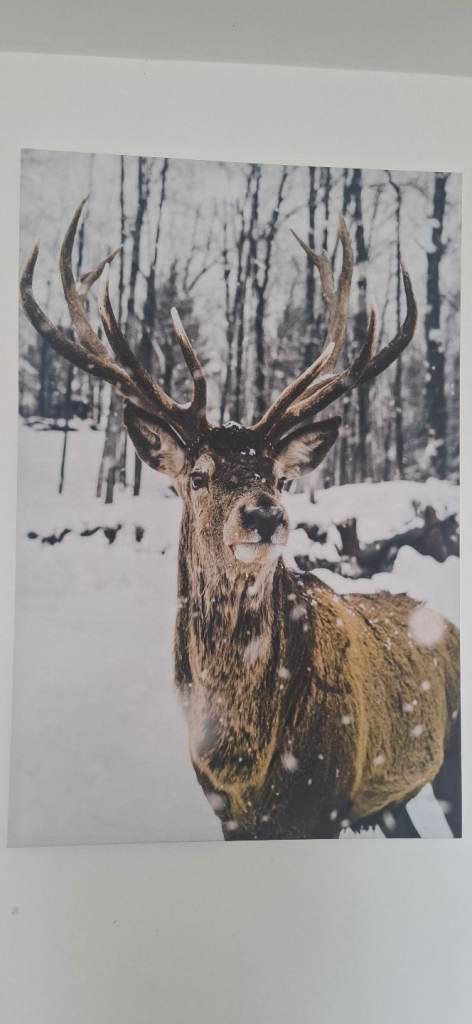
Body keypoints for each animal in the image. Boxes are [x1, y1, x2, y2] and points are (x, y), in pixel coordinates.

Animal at [20, 200, 461, 840]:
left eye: (280, 477)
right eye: (199, 476)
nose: (265, 514)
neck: (244, 764)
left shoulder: (327, 802)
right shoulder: (226, 814)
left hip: (447, 763)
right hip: (391, 802)